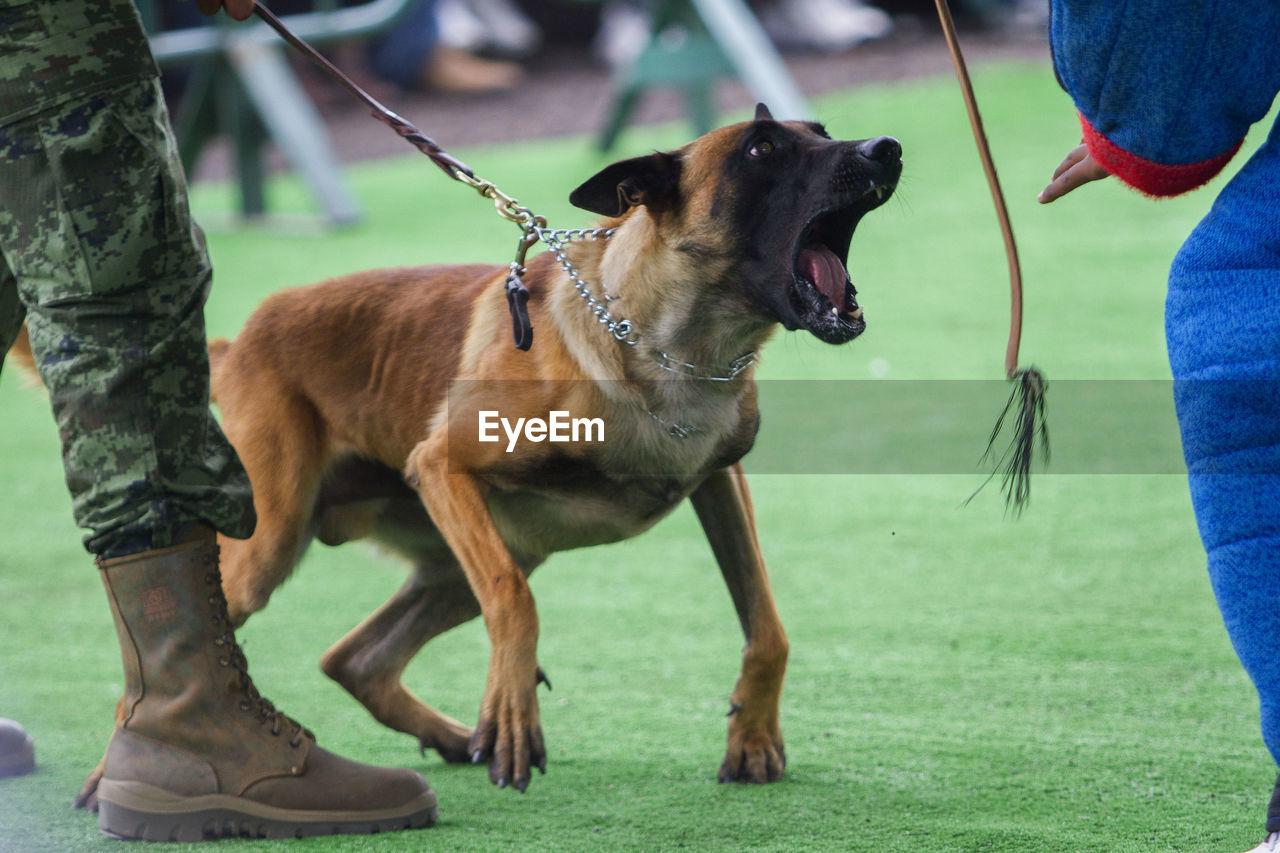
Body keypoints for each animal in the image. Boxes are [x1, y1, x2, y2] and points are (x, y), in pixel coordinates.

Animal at [115, 104, 906, 788]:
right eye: (762, 150)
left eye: (822, 132)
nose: (887, 148)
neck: (662, 349)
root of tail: (238, 339)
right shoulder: (442, 464)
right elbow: (512, 601)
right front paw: (511, 709)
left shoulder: (718, 481)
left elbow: (766, 622)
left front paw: (754, 734)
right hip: (274, 542)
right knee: (163, 664)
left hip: (464, 559)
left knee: (354, 659)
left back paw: (446, 735)